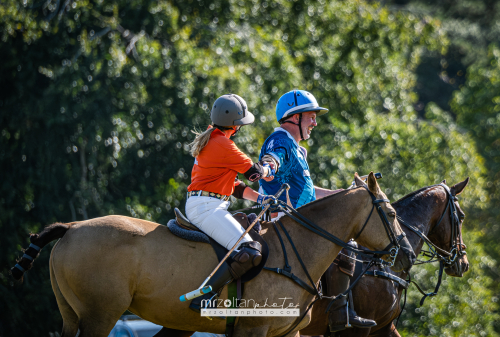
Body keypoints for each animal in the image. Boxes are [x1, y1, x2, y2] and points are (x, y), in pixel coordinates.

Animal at [11, 173, 412, 336]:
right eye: (392, 214)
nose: (407, 254)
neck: (299, 249)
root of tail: (71, 227)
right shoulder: (253, 329)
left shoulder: (286, 333)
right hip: (100, 315)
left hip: (71, 314)